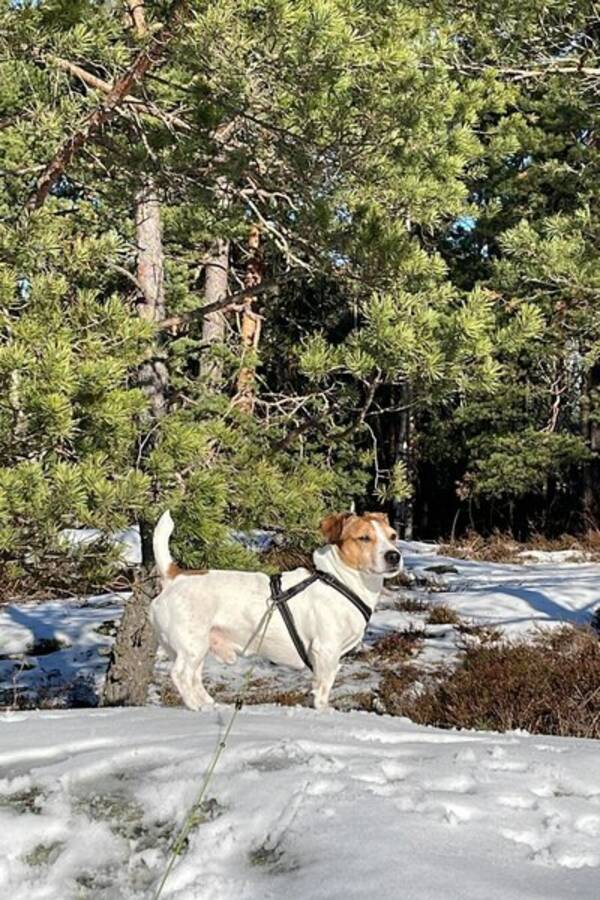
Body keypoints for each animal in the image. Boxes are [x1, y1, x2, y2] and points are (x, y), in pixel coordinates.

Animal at [150, 512, 404, 712]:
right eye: (364, 538)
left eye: (393, 536)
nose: (394, 556)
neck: (339, 579)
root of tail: (175, 576)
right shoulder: (326, 650)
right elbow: (322, 691)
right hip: (192, 646)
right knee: (180, 675)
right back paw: (196, 706)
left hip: (194, 648)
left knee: (194, 678)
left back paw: (208, 704)